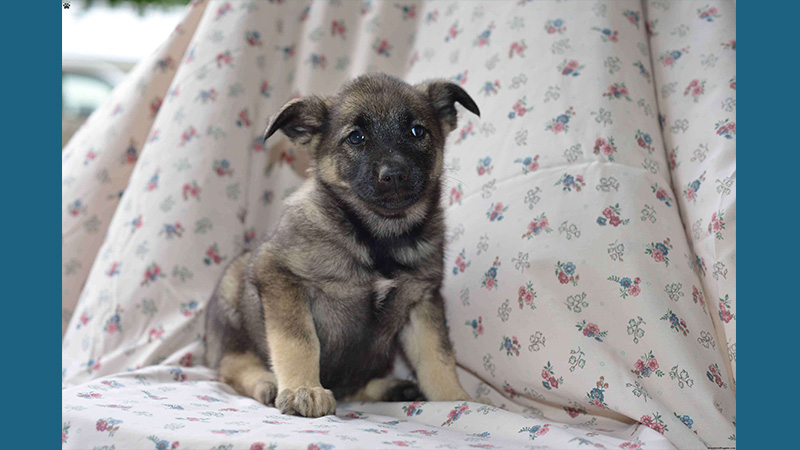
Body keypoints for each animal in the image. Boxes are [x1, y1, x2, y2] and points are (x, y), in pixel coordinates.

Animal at [206, 72, 482, 416]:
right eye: (356, 138)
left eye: (417, 131)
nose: (395, 175)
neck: (377, 238)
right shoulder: (280, 276)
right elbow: (298, 341)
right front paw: (303, 389)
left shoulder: (422, 299)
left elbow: (437, 356)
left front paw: (455, 398)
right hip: (233, 294)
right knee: (231, 366)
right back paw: (267, 383)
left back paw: (391, 387)